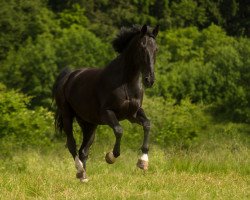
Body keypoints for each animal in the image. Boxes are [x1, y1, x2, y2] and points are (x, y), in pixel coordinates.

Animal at [52, 24, 158, 182]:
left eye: (156, 49)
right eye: (142, 47)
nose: (149, 80)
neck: (126, 83)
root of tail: (68, 76)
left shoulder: (132, 114)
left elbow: (147, 124)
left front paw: (143, 162)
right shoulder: (107, 113)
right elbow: (119, 130)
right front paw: (110, 157)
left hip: (89, 124)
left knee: (84, 150)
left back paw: (83, 177)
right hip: (67, 116)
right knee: (72, 144)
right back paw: (80, 170)